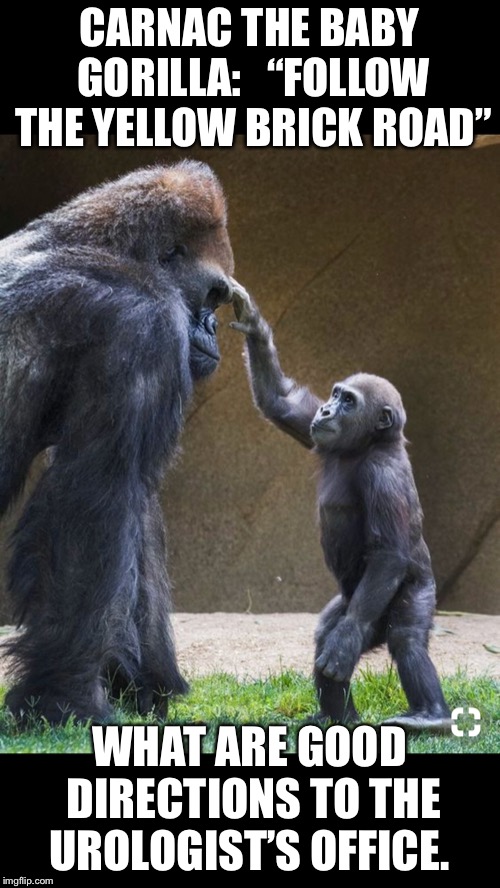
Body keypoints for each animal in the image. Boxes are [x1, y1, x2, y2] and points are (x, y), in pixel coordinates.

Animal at [0, 163, 234, 724]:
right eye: (214, 295)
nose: (216, 329)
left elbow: (131, 509)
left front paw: (147, 683)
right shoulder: (142, 324)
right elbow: (93, 503)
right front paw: (62, 700)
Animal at [232, 282, 452, 728]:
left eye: (349, 401)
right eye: (334, 394)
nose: (328, 409)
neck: (368, 444)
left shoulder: (383, 476)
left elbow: (388, 554)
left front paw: (348, 639)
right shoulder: (318, 432)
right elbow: (280, 401)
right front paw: (253, 324)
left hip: (413, 592)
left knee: (403, 637)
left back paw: (431, 715)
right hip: (352, 600)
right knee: (326, 636)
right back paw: (338, 719)